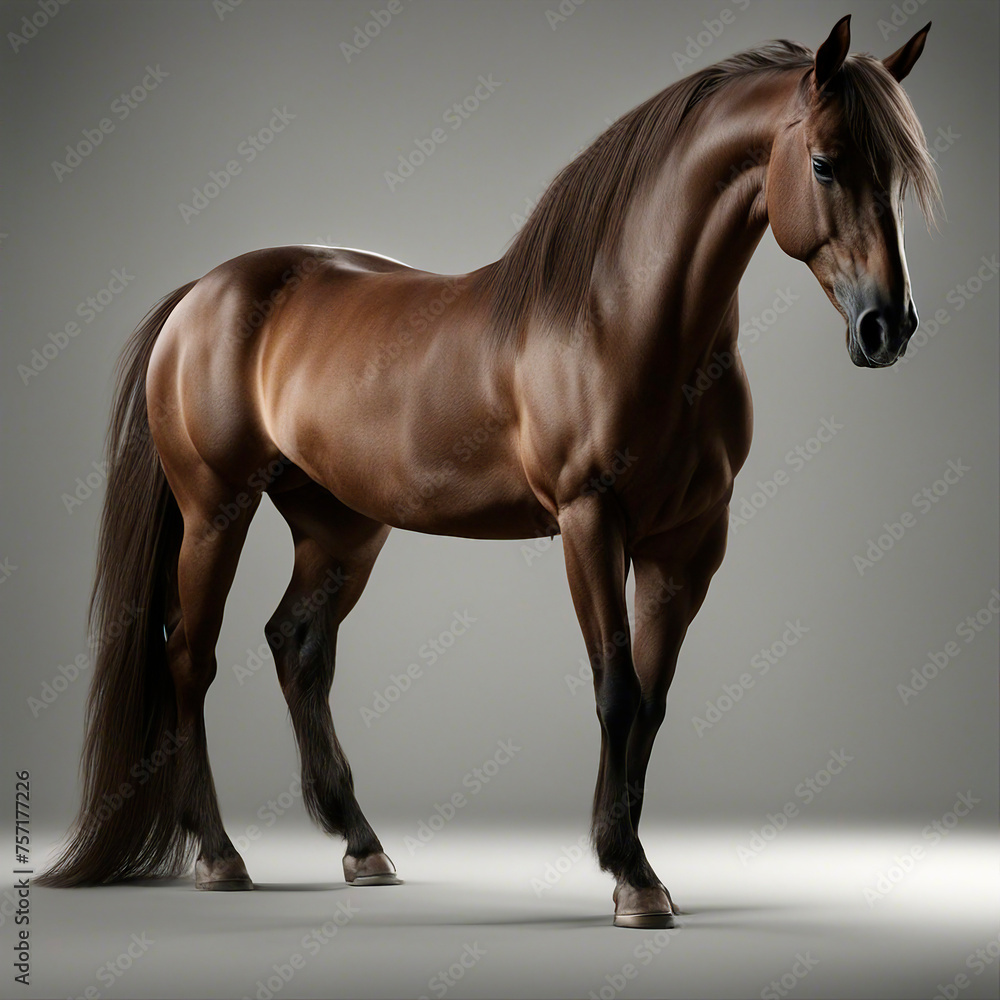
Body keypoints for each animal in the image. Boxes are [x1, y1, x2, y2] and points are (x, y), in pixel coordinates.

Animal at [39, 15, 939, 928]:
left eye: (898, 172)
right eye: (824, 162)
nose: (887, 327)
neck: (621, 319)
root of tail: (200, 293)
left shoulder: (689, 543)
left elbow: (651, 701)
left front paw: (637, 864)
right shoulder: (589, 521)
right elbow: (615, 690)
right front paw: (631, 876)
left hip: (341, 528)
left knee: (297, 646)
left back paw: (362, 846)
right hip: (216, 509)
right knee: (191, 656)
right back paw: (220, 855)